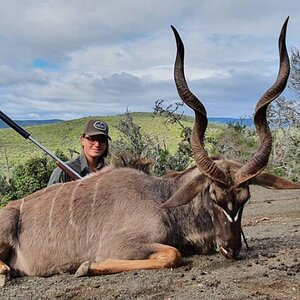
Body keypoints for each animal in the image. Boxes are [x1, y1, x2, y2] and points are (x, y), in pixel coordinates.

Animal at [0, 17, 300, 284]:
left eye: (245, 198)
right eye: (213, 196)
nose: (231, 248)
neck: (161, 198)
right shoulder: (121, 244)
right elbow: (172, 255)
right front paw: (85, 266)